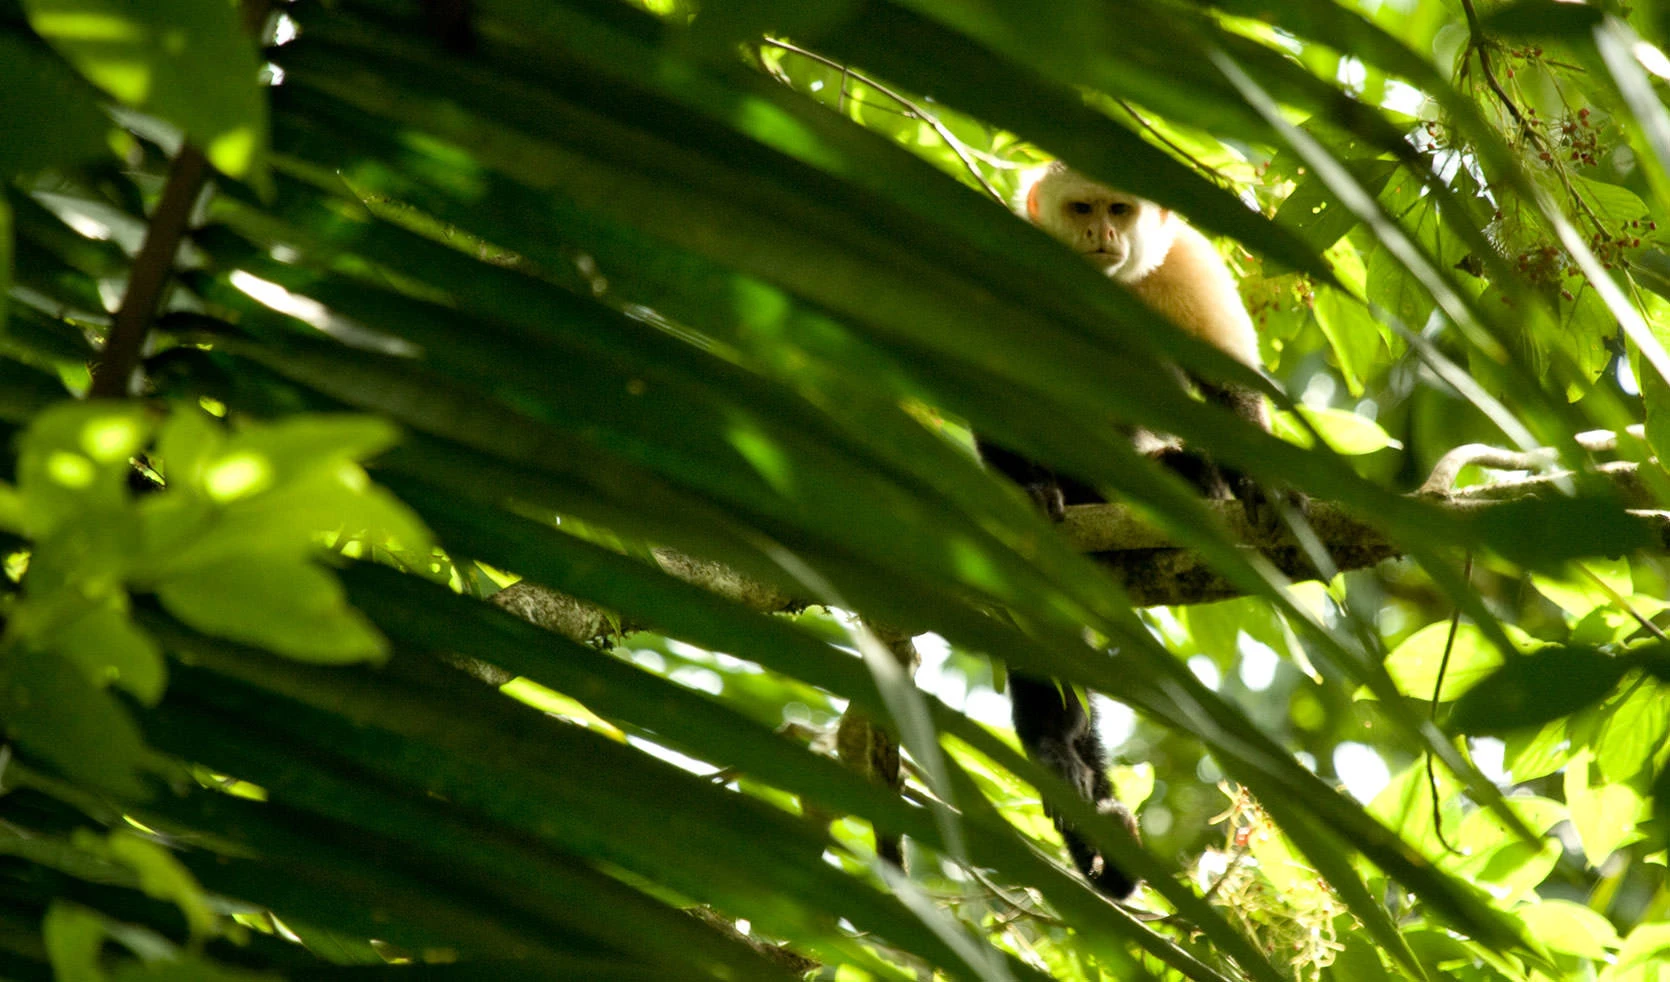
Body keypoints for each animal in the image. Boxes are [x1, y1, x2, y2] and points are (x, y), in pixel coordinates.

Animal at [980, 163, 1276, 900]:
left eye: (1119, 208)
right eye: (1082, 208)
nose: (1102, 234)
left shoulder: (1190, 266)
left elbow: (1226, 386)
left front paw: (1261, 486)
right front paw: (1026, 491)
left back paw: (1192, 480)